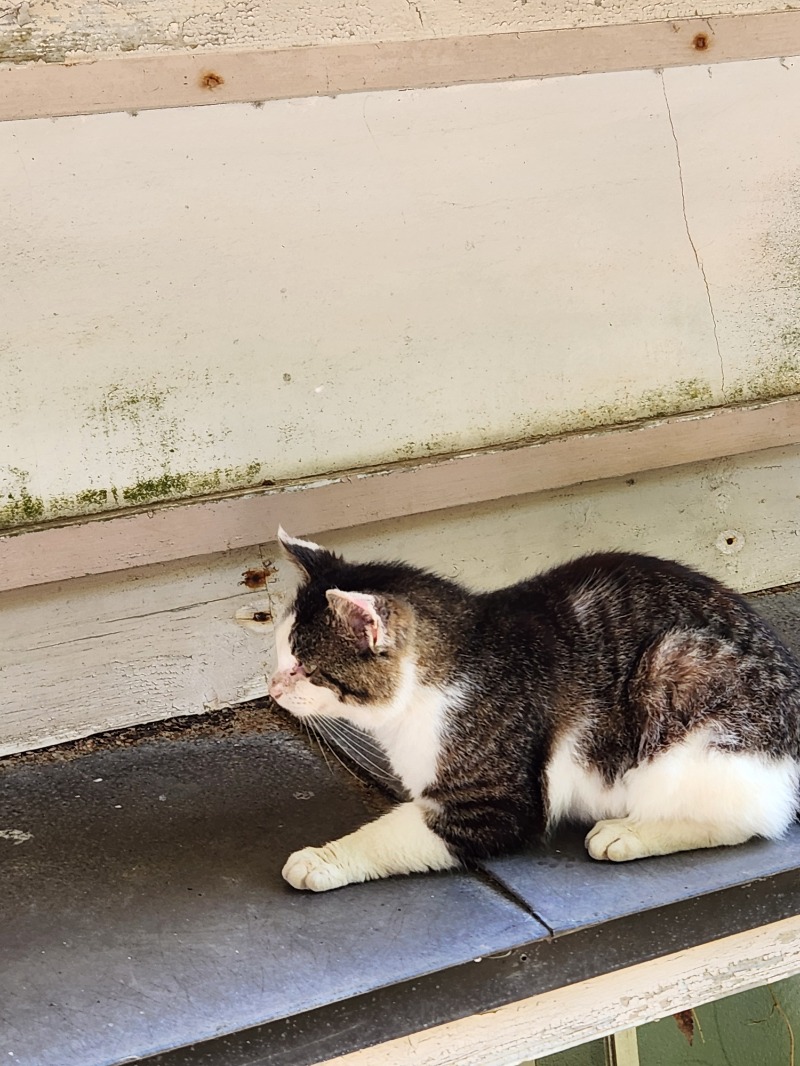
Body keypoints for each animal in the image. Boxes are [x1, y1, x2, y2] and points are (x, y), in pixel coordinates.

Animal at [270, 530, 800, 891]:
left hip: (681, 679)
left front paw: (323, 859)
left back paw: (630, 834)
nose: (273, 688)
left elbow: (390, 835)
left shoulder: (495, 805)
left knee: (745, 818)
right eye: (277, 654)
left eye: (306, 669)